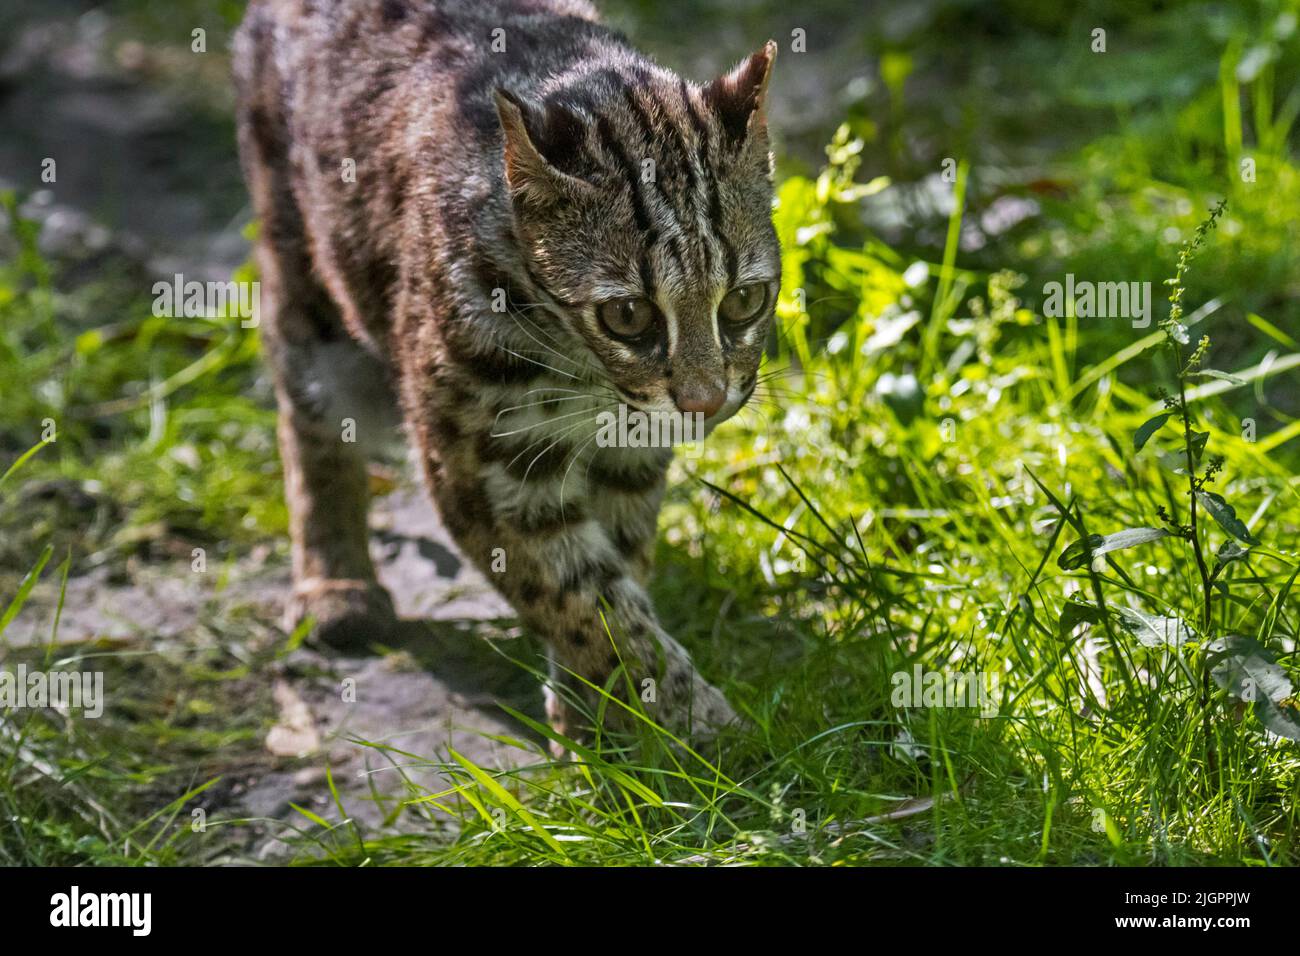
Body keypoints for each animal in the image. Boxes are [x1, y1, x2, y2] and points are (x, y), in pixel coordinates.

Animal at [231, 0, 780, 738]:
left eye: (745, 300)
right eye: (628, 315)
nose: (705, 403)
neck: (586, 373)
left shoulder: (632, 453)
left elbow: (616, 565)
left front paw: (593, 708)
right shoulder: (483, 463)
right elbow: (581, 595)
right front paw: (688, 719)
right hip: (306, 282)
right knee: (307, 416)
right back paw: (335, 581)